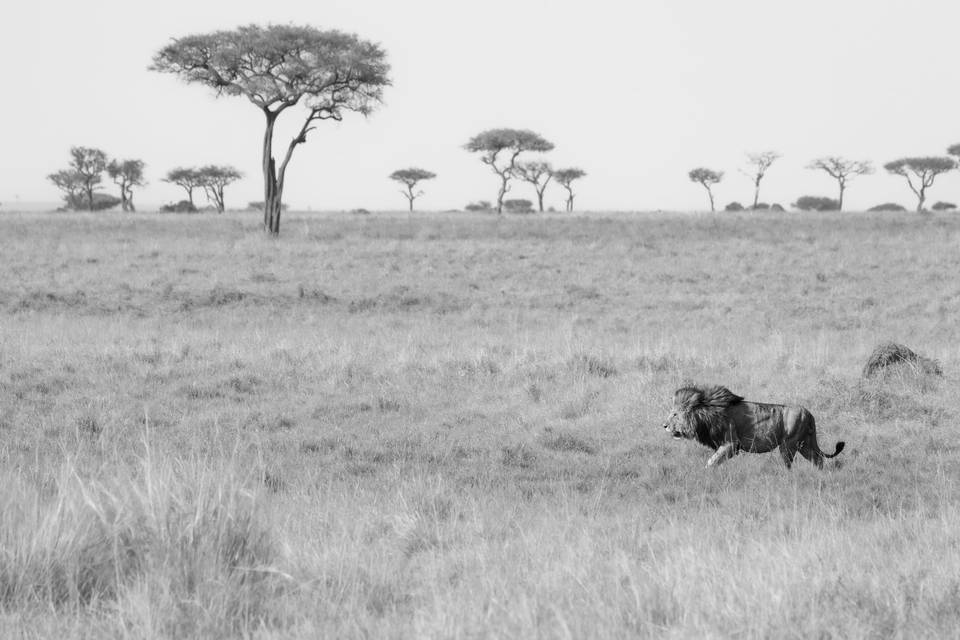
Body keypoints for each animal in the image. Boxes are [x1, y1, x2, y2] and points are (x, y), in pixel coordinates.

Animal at [664, 382, 844, 468]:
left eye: (675, 414)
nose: (664, 426)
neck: (707, 413)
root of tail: (809, 414)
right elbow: (715, 460)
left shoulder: (730, 443)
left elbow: (712, 461)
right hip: (804, 444)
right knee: (818, 459)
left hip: (788, 445)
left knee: (789, 465)